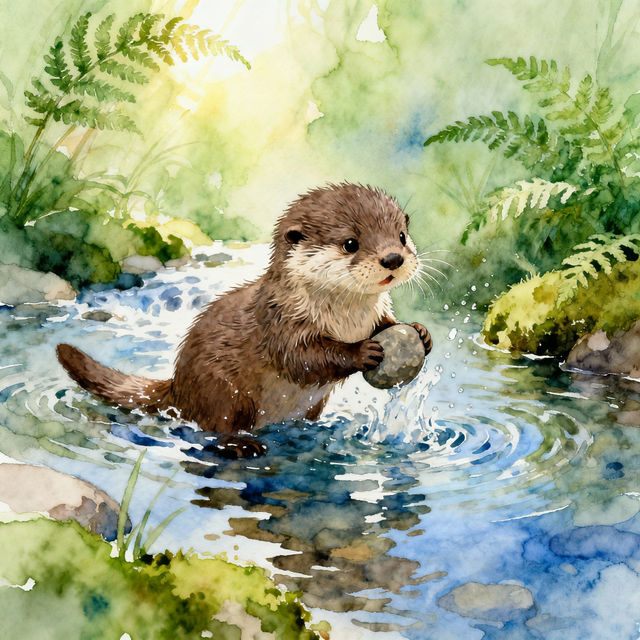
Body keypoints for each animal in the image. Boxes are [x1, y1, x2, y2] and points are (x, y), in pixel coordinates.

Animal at [57, 183, 432, 457]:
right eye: (350, 243)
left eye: (401, 236)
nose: (393, 258)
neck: (347, 321)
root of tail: (179, 386)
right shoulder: (279, 322)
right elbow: (302, 359)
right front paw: (362, 352)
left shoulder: (373, 315)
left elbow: (386, 324)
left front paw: (420, 333)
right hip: (224, 390)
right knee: (217, 425)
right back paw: (244, 444)